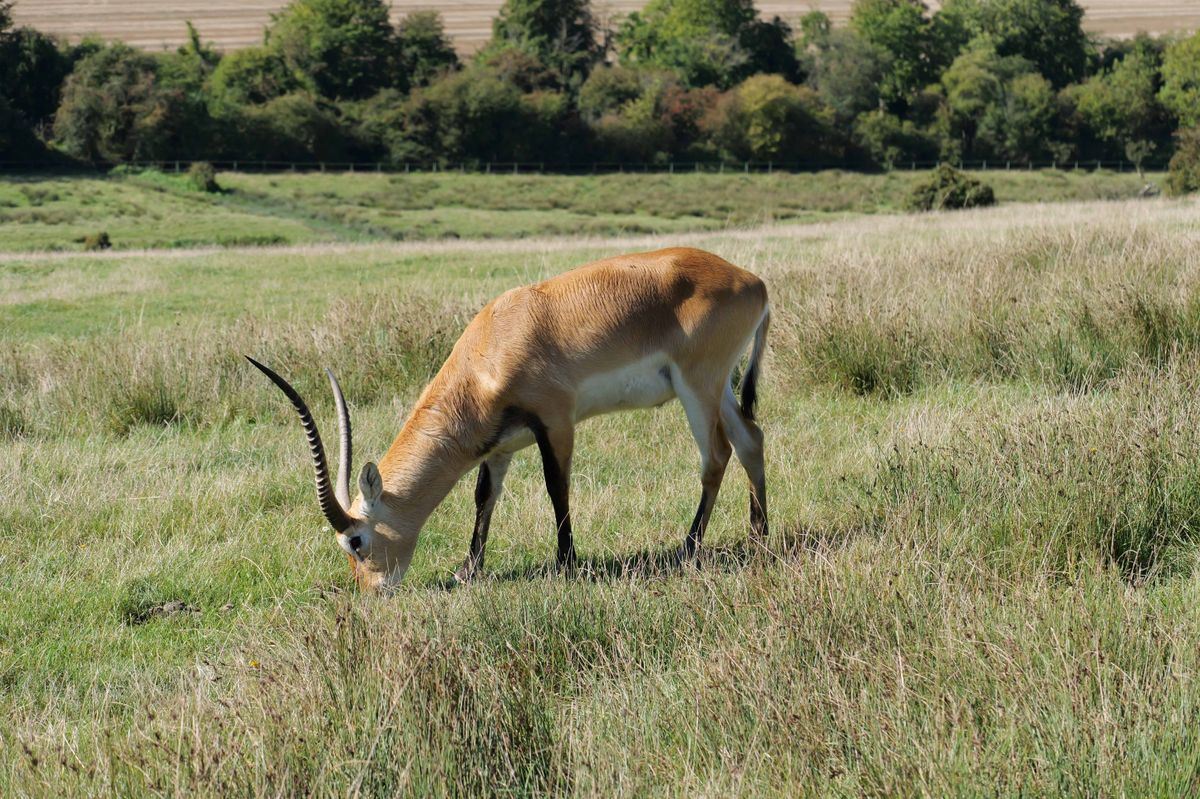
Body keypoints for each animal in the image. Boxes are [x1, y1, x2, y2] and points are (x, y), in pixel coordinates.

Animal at [248, 247, 770, 593]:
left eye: (356, 541)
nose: (371, 592)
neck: (491, 346)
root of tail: (753, 281)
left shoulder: (556, 423)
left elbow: (556, 488)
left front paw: (566, 565)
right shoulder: (499, 446)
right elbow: (484, 498)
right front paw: (467, 571)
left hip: (696, 385)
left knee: (716, 455)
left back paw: (688, 549)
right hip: (719, 387)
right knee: (751, 439)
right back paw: (758, 537)